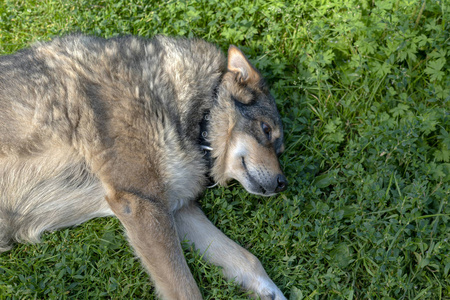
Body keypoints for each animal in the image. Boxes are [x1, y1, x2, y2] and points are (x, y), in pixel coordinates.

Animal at [0, 34, 288, 298]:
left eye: (280, 150)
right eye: (266, 129)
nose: (282, 184)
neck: (198, 119)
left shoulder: (176, 208)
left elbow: (248, 260)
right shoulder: (142, 204)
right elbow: (187, 289)